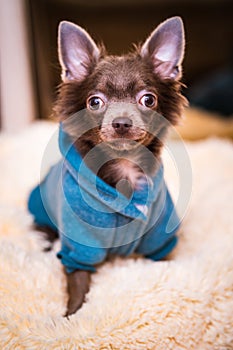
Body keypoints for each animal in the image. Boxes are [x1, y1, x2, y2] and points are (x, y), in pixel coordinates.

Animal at [27, 16, 187, 316]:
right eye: (95, 102)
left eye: (148, 99)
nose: (121, 122)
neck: (124, 168)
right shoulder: (79, 250)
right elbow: (78, 286)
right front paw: (71, 317)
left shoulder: (159, 243)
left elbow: (163, 268)